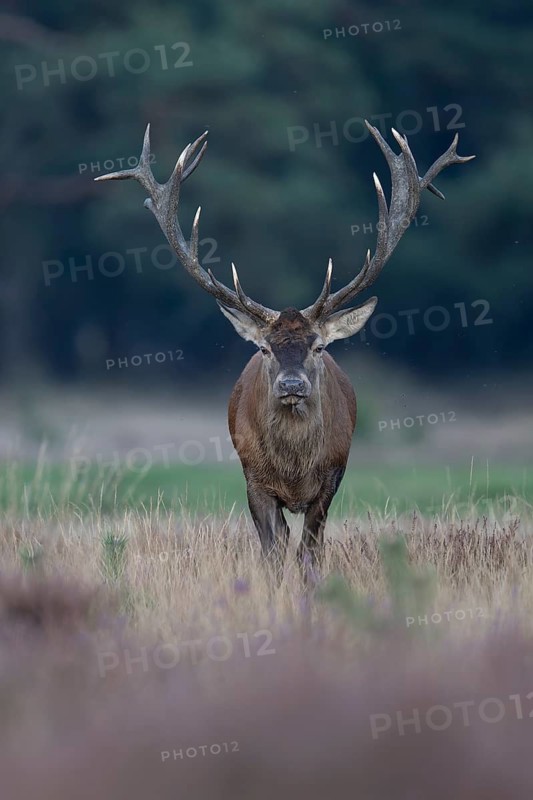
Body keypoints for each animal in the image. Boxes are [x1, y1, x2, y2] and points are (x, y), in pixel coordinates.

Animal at [96, 121, 474, 581]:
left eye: (319, 345)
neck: (293, 470)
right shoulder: (253, 480)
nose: (292, 384)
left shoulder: (331, 478)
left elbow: (310, 550)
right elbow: (272, 551)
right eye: (264, 348)